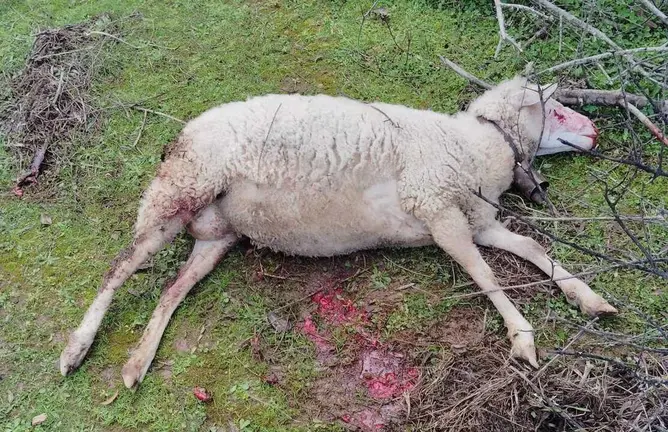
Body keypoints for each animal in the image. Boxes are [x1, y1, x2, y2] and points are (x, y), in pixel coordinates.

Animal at [59, 75, 617, 389]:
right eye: (557, 109)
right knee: (120, 267)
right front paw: (523, 336)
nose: (594, 133)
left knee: (172, 291)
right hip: (181, 189)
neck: (479, 145)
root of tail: (182, 133)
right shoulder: (438, 209)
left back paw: (137, 362)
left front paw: (587, 296)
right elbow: (485, 274)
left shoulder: (475, 220)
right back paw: (76, 348)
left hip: (215, 234)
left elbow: (528, 246)